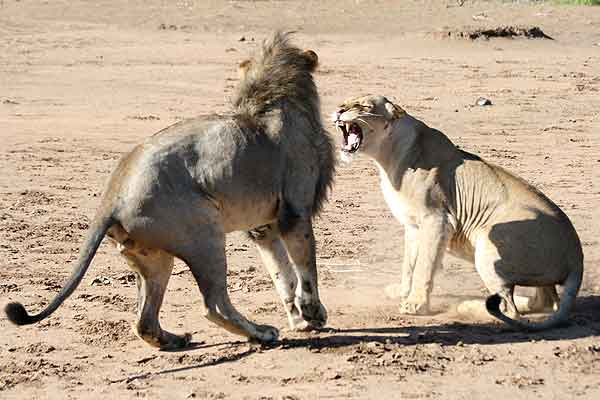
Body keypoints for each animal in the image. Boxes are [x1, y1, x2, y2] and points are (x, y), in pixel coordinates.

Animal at [4, 32, 336, 348]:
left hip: (154, 258)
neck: (270, 98)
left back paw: (176, 340)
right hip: (205, 234)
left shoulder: (262, 226)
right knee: (214, 305)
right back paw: (261, 333)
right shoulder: (294, 211)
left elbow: (282, 274)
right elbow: (305, 268)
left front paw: (299, 319)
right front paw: (313, 313)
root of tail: (112, 198)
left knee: (144, 322)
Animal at [332, 95, 580, 330]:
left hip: (490, 241)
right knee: (545, 302)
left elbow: (424, 266)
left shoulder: (437, 219)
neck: (388, 156)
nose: (339, 111)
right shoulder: (412, 225)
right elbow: (409, 265)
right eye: (344, 103)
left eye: (363, 106)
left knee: (510, 311)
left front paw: (416, 304)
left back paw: (468, 306)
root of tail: (577, 257)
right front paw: (402, 291)